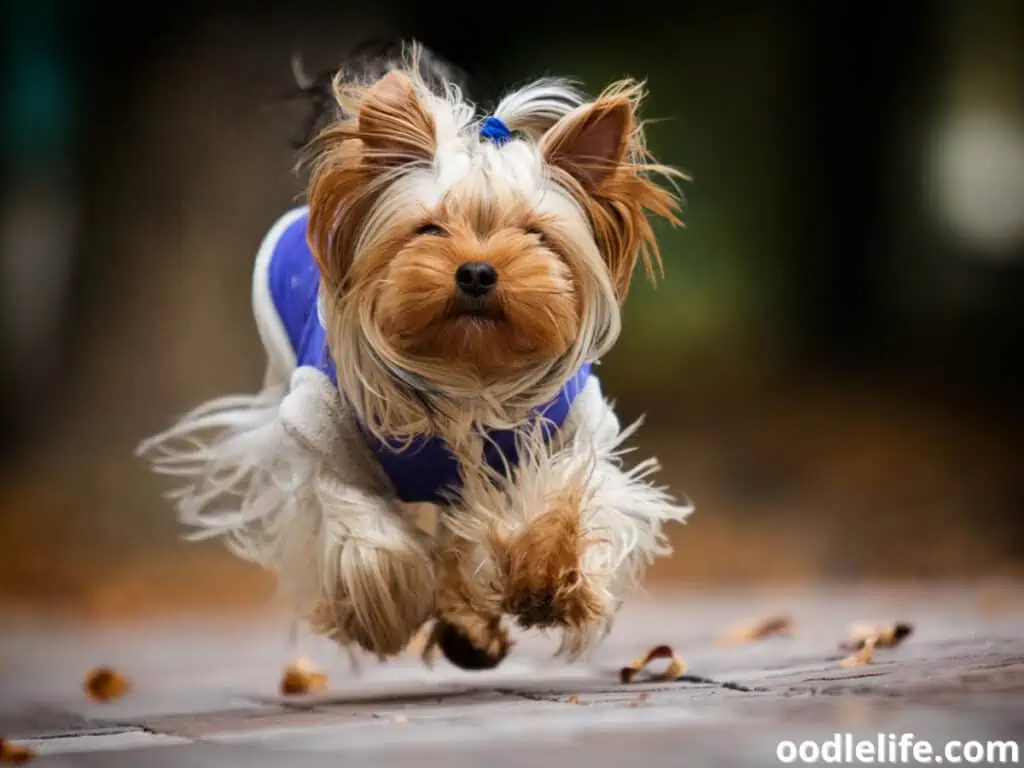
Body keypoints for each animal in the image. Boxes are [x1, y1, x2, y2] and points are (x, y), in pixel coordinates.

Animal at [138, 41, 696, 671]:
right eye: (428, 229)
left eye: (535, 235)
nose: (476, 271)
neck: (467, 374)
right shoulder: (327, 433)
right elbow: (364, 533)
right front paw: (387, 607)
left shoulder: (569, 432)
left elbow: (569, 494)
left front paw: (546, 573)